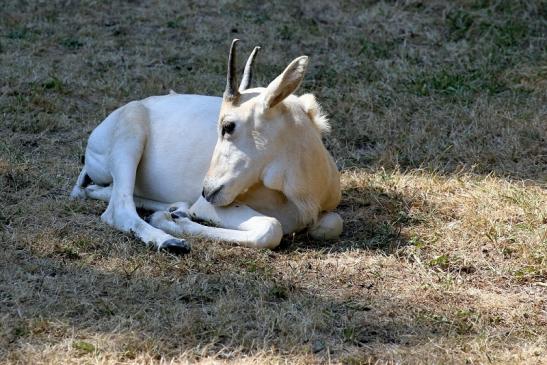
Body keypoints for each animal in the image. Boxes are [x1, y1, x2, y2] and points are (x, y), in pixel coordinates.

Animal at [68, 38, 342, 252]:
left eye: (228, 126)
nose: (207, 190)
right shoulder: (214, 206)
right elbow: (271, 227)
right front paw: (173, 222)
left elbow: (333, 223)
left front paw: (177, 215)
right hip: (130, 135)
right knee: (118, 209)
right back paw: (170, 241)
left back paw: (175, 208)